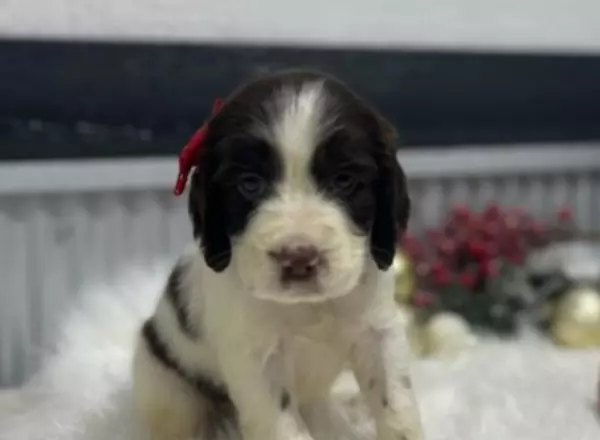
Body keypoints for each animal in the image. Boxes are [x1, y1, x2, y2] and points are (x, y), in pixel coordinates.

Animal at [131, 68, 422, 440]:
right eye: (250, 184)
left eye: (344, 181)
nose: (298, 258)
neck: (307, 307)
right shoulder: (257, 359)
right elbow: (281, 424)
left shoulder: (378, 331)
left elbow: (396, 407)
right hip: (165, 383)